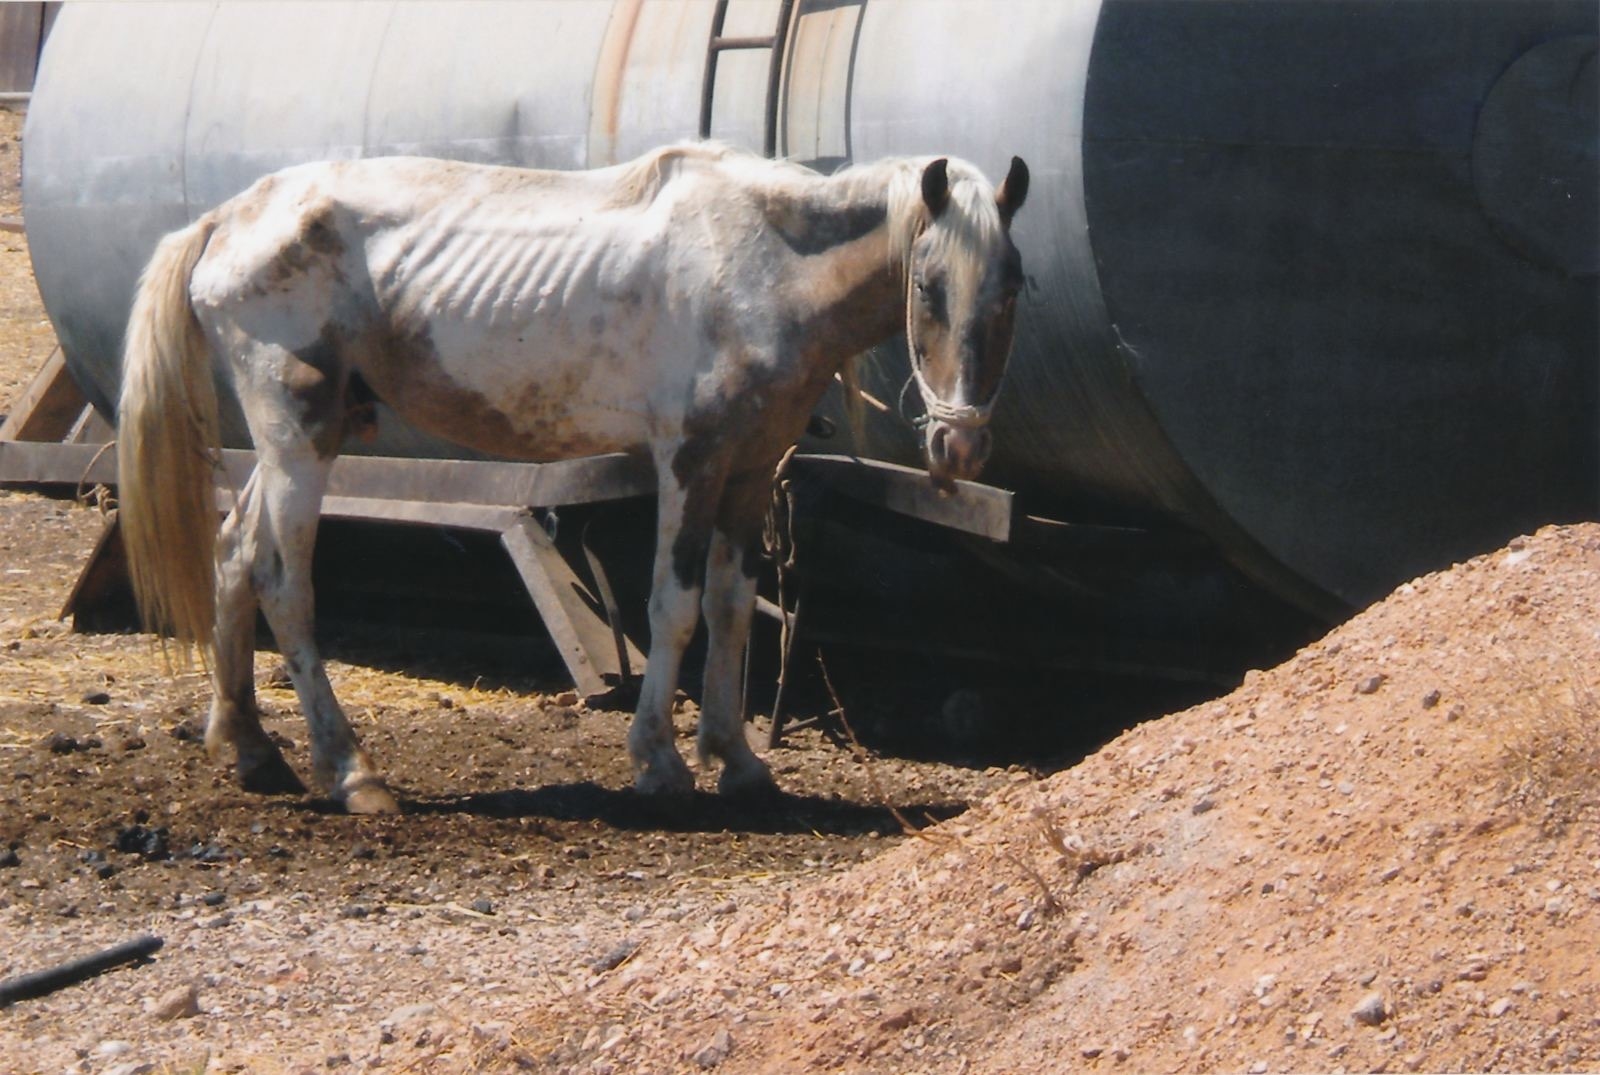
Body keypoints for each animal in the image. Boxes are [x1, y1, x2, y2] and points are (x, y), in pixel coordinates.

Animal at [118, 144, 1030, 815]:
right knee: (283, 580)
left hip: (299, 441)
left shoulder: (748, 468)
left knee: (234, 556)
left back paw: (248, 747)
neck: (762, 260)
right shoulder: (690, 460)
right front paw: (660, 760)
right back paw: (351, 771)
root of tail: (224, 220)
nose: (959, 446)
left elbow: (733, 607)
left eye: (1014, 287)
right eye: (927, 286)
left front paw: (737, 759)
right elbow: (675, 606)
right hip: (297, 434)